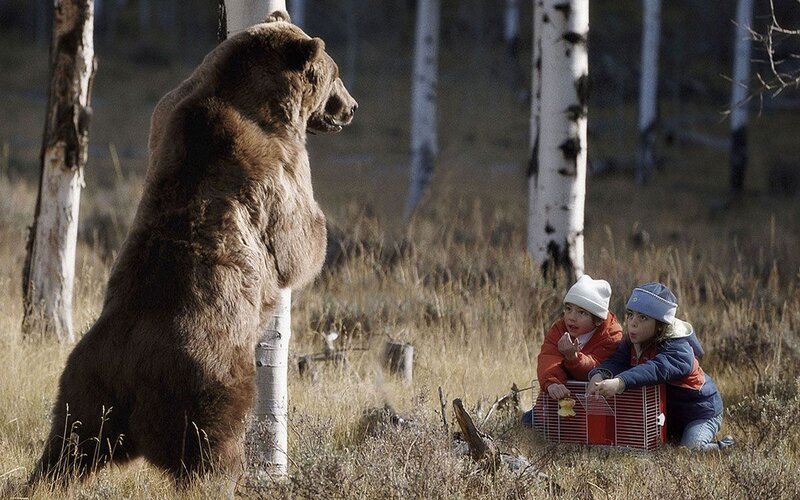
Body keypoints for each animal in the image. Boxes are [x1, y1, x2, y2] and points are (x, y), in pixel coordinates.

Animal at [30, 11, 356, 487]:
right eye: (335, 74)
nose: (350, 107)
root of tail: (131, 374)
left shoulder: (168, 111)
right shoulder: (274, 162)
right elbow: (295, 238)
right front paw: (317, 239)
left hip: (85, 388)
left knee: (67, 446)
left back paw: (43, 478)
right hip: (207, 385)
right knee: (211, 450)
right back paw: (227, 478)